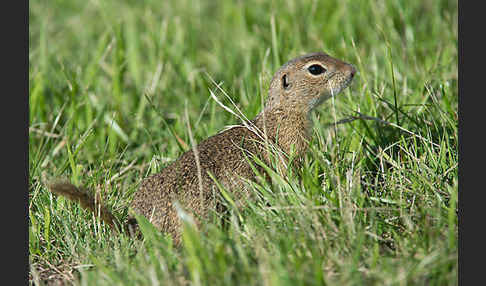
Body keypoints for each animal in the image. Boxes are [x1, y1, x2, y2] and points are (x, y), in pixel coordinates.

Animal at [47, 51, 356, 244]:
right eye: (316, 69)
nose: (353, 71)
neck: (283, 112)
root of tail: (137, 225)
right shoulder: (289, 147)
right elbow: (289, 175)